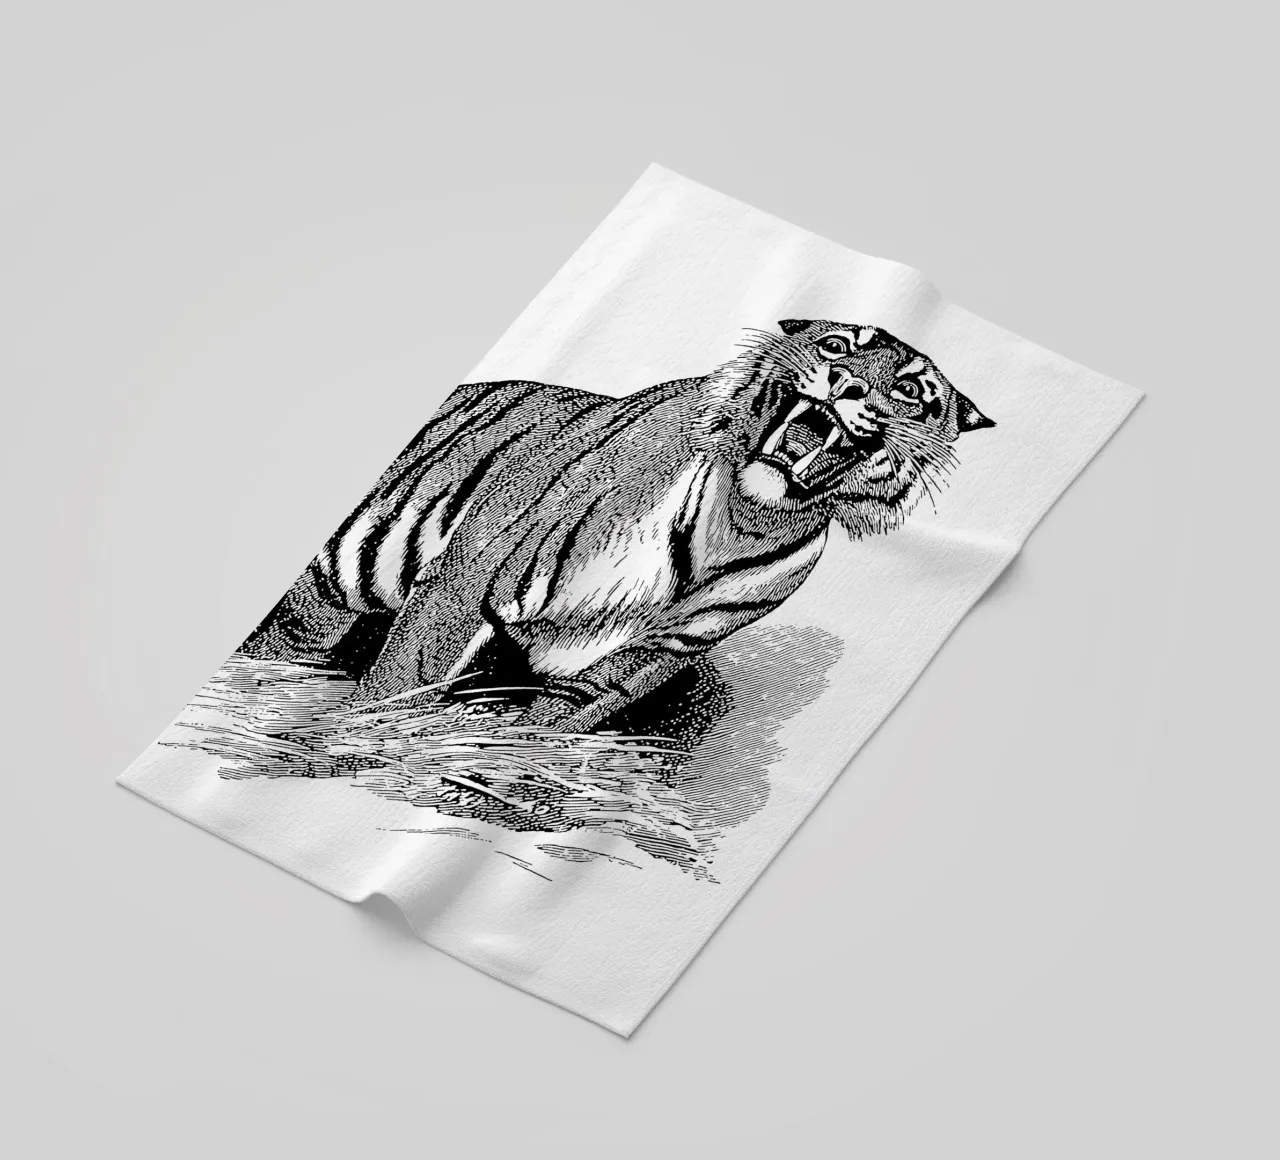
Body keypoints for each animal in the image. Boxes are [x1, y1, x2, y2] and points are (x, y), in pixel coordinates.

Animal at [241, 318, 995, 733]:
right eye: (836, 344)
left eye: (910, 391)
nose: (846, 384)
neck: (746, 515)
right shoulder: (468, 581)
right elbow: (398, 687)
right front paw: (350, 754)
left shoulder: (647, 657)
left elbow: (546, 733)